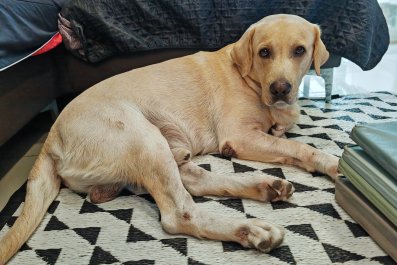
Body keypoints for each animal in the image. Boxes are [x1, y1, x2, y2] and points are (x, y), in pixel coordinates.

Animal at [1, 14, 338, 262]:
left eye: (299, 51)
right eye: (264, 52)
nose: (280, 89)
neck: (249, 76)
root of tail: (50, 139)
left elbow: (288, 138)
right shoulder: (239, 137)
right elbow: (299, 146)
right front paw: (333, 164)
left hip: (159, 149)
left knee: (197, 181)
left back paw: (265, 186)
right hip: (143, 138)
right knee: (179, 214)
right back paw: (251, 228)